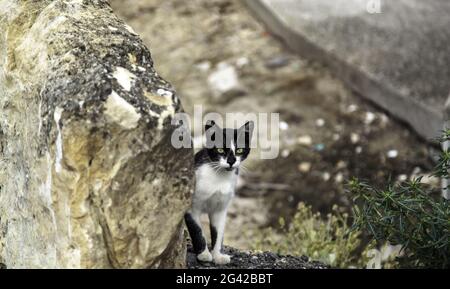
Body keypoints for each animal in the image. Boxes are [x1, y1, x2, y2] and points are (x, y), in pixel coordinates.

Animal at [183, 119, 253, 264]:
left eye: (239, 150)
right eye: (220, 149)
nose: (231, 161)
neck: (219, 178)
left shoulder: (220, 209)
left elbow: (218, 232)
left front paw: (218, 255)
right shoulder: (192, 207)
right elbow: (197, 230)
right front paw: (204, 254)